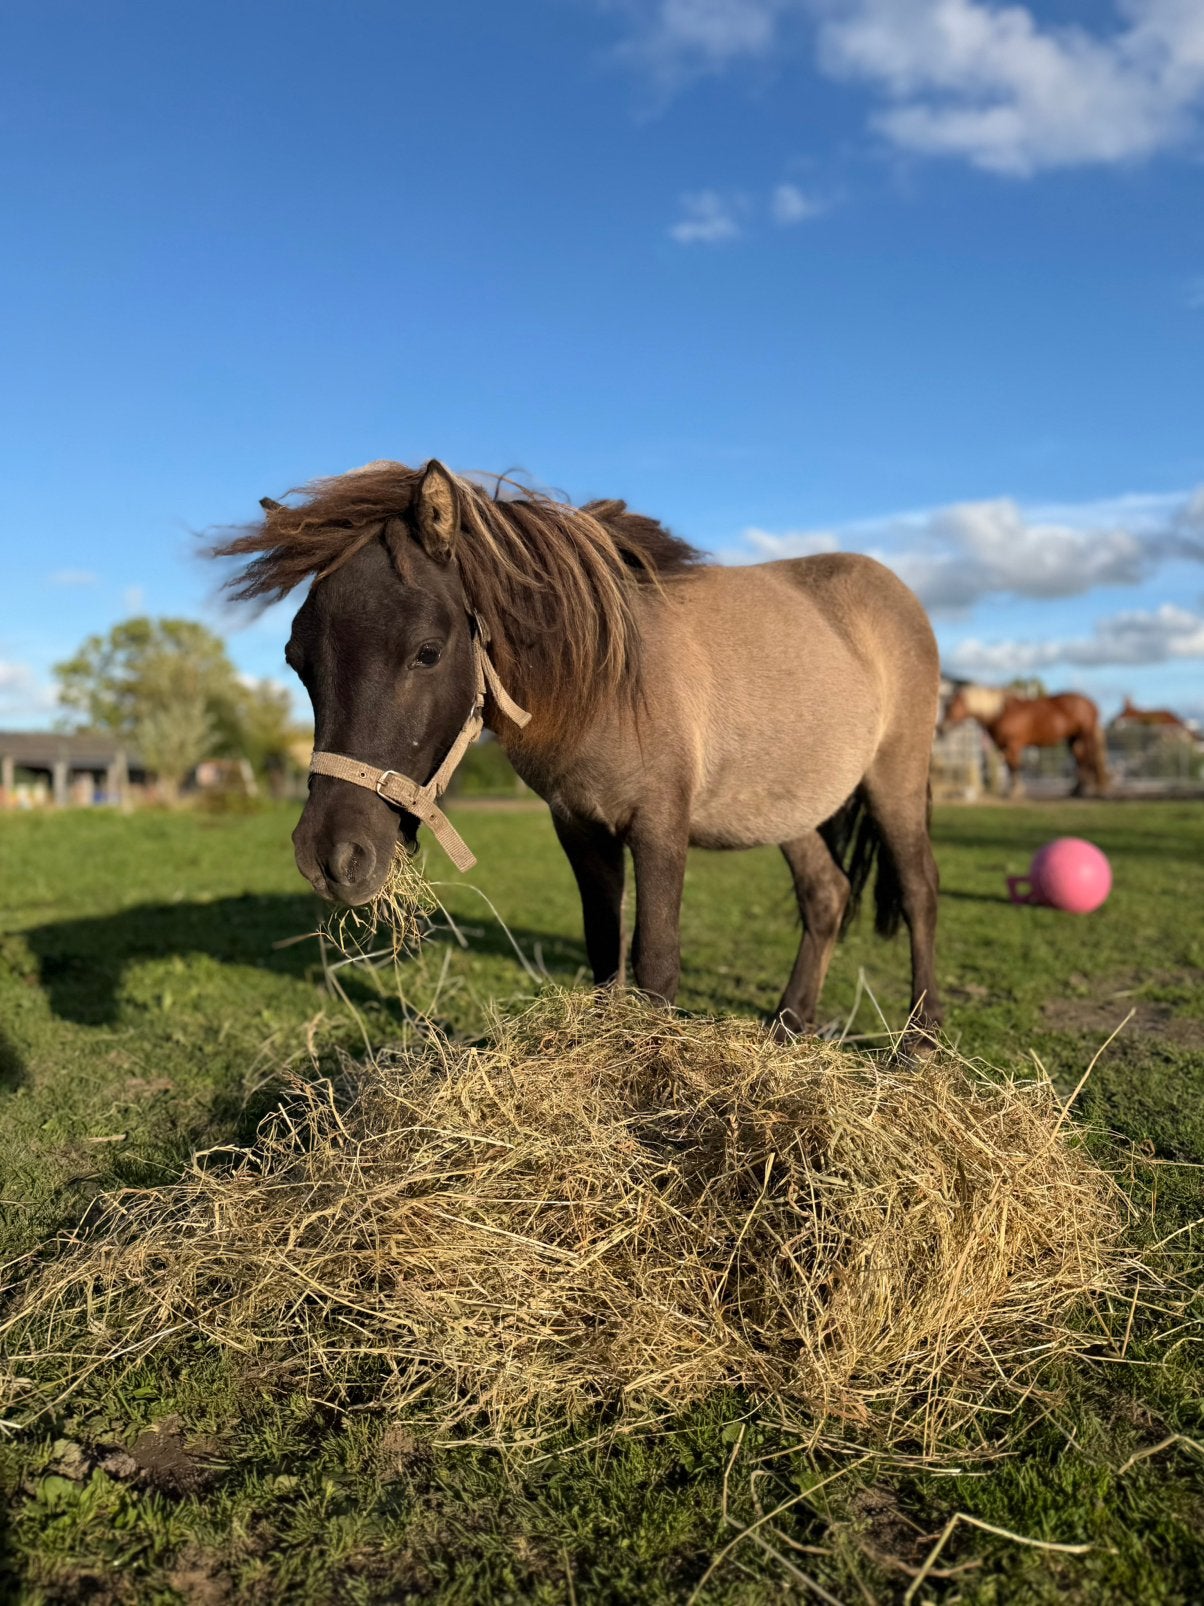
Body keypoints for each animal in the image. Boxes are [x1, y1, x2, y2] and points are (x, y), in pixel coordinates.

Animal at [212, 459, 944, 1041]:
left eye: (426, 651)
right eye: (297, 659)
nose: (331, 857)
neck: (604, 682)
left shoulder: (658, 827)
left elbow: (655, 963)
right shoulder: (581, 828)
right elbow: (603, 953)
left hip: (894, 781)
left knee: (919, 892)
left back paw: (921, 1041)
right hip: (789, 808)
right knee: (827, 896)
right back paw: (791, 1026)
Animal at [941, 684, 1108, 797]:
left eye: (951, 706)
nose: (942, 726)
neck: (1001, 713)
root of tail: (1091, 705)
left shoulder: (1013, 745)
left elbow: (1014, 766)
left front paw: (1015, 791)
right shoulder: (1004, 746)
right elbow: (1010, 767)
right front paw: (1013, 790)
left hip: (1085, 735)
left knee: (1088, 759)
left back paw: (1087, 789)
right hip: (1073, 738)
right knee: (1080, 759)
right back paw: (1077, 789)